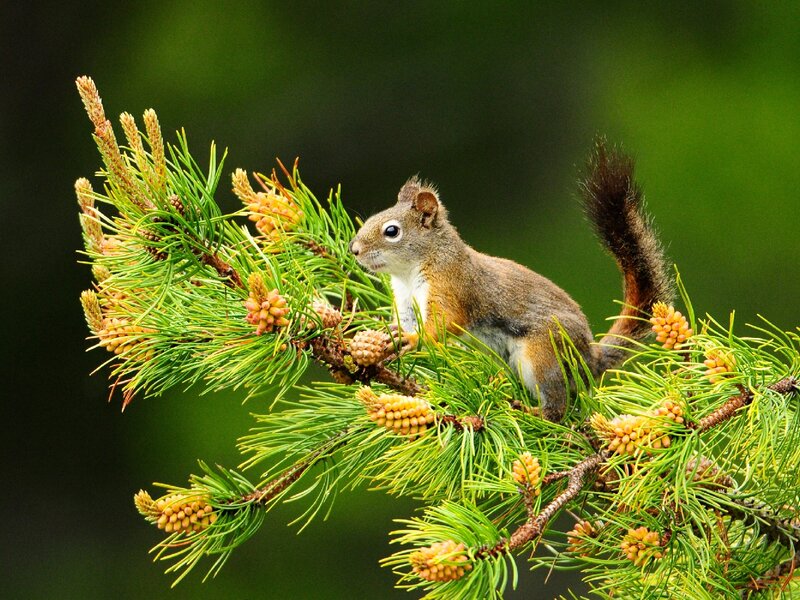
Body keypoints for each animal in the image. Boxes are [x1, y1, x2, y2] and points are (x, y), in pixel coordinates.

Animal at [349, 139, 672, 421]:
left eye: (392, 231)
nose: (354, 250)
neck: (409, 273)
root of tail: (589, 358)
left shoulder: (451, 286)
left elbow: (444, 322)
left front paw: (414, 339)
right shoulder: (405, 302)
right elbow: (404, 322)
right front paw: (388, 336)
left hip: (543, 354)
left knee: (558, 405)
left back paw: (534, 413)